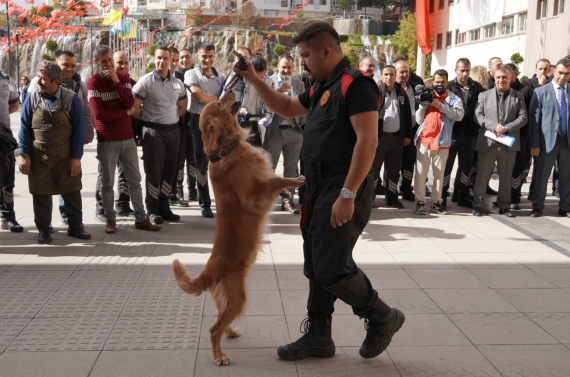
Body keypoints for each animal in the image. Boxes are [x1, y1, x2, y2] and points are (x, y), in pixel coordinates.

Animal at [172, 89, 302, 362]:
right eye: (219, 103)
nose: (230, 89)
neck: (224, 150)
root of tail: (208, 272)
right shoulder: (255, 193)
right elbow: (275, 179)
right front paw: (295, 180)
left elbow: (275, 181)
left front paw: (287, 193)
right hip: (238, 297)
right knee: (213, 329)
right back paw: (220, 355)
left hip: (228, 299)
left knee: (220, 319)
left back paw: (230, 331)